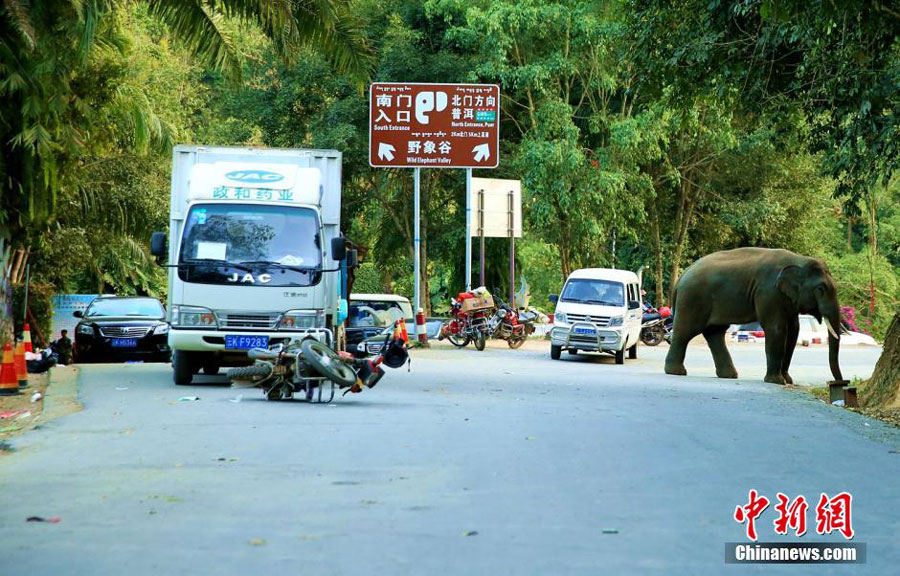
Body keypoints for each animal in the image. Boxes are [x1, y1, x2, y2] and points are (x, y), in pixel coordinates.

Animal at [660, 246, 844, 384]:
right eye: (820, 289)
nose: (840, 382)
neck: (799, 260)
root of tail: (681, 277)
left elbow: (794, 331)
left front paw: (788, 380)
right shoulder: (768, 292)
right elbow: (776, 328)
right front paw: (777, 381)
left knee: (714, 333)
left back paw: (729, 375)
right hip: (693, 299)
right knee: (686, 331)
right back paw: (676, 372)